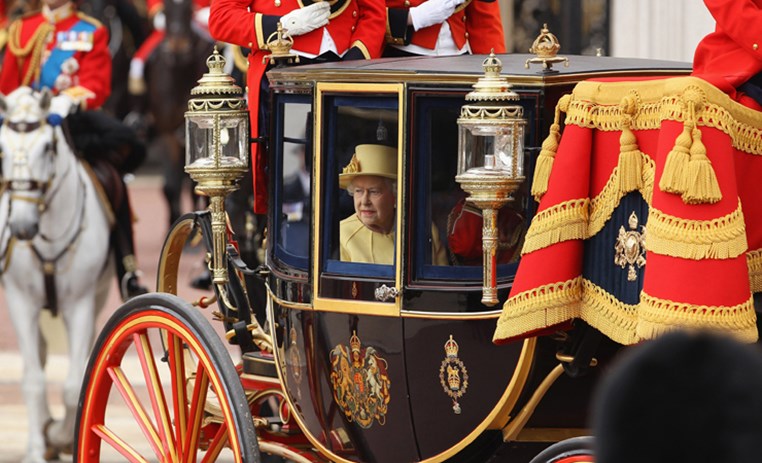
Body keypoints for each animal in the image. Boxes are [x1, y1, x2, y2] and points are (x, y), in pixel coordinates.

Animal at [0, 88, 113, 463]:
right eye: (2, 150)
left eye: (47, 149)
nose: (21, 227)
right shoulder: (21, 302)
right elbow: (33, 380)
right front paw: (37, 447)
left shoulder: (80, 303)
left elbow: (74, 382)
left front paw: (64, 437)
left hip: (98, 296)